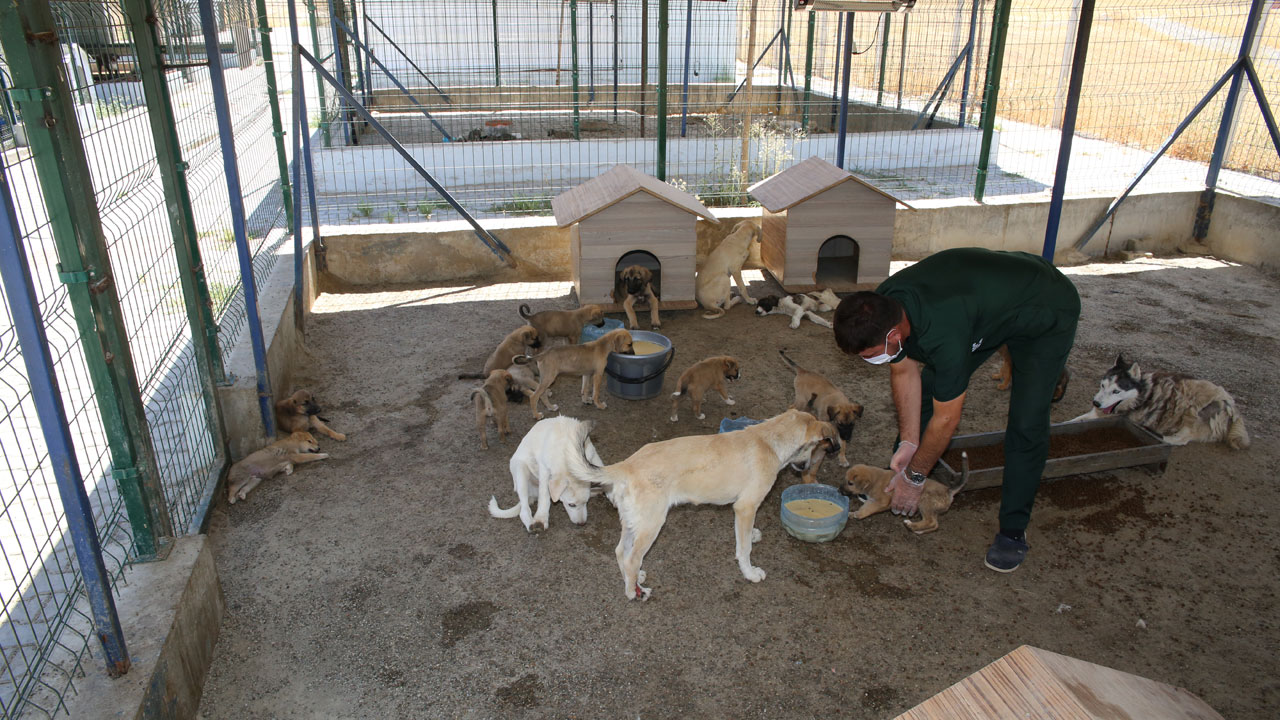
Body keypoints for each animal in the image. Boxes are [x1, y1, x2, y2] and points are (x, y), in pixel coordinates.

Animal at [565, 407, 844, 597]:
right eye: (813, 447)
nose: (805, 468)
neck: (769, 441)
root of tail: (626, 465)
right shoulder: (745, 507)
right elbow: (744, 550)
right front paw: (750, 573)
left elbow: (746, 537)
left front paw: (753, 534)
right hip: (651, 525)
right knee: (631, 558)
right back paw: (635, 592)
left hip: (633, 522)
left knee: (621, 553)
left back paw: (632, 581)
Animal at [834, 453, 962, 532]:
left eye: (850, 483)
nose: (838, 490)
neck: (874, 480)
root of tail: (949, 491)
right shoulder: (872, 500)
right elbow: (865, 507)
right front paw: (853, 513)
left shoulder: (882, 501)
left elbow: (867, 510)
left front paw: (858, 515)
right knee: (935, 525)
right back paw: (918, 530)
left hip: (925, 502)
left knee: (930, 521)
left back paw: (911, 525)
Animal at [1070, 351, 1249, 445]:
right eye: (1102, 385)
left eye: (1116, 391)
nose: (1096, 402)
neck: (1141, 397)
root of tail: (1234, 408)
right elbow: (1074, 420)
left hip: (1198, 411)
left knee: (1182, 438)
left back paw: (1160, 436)